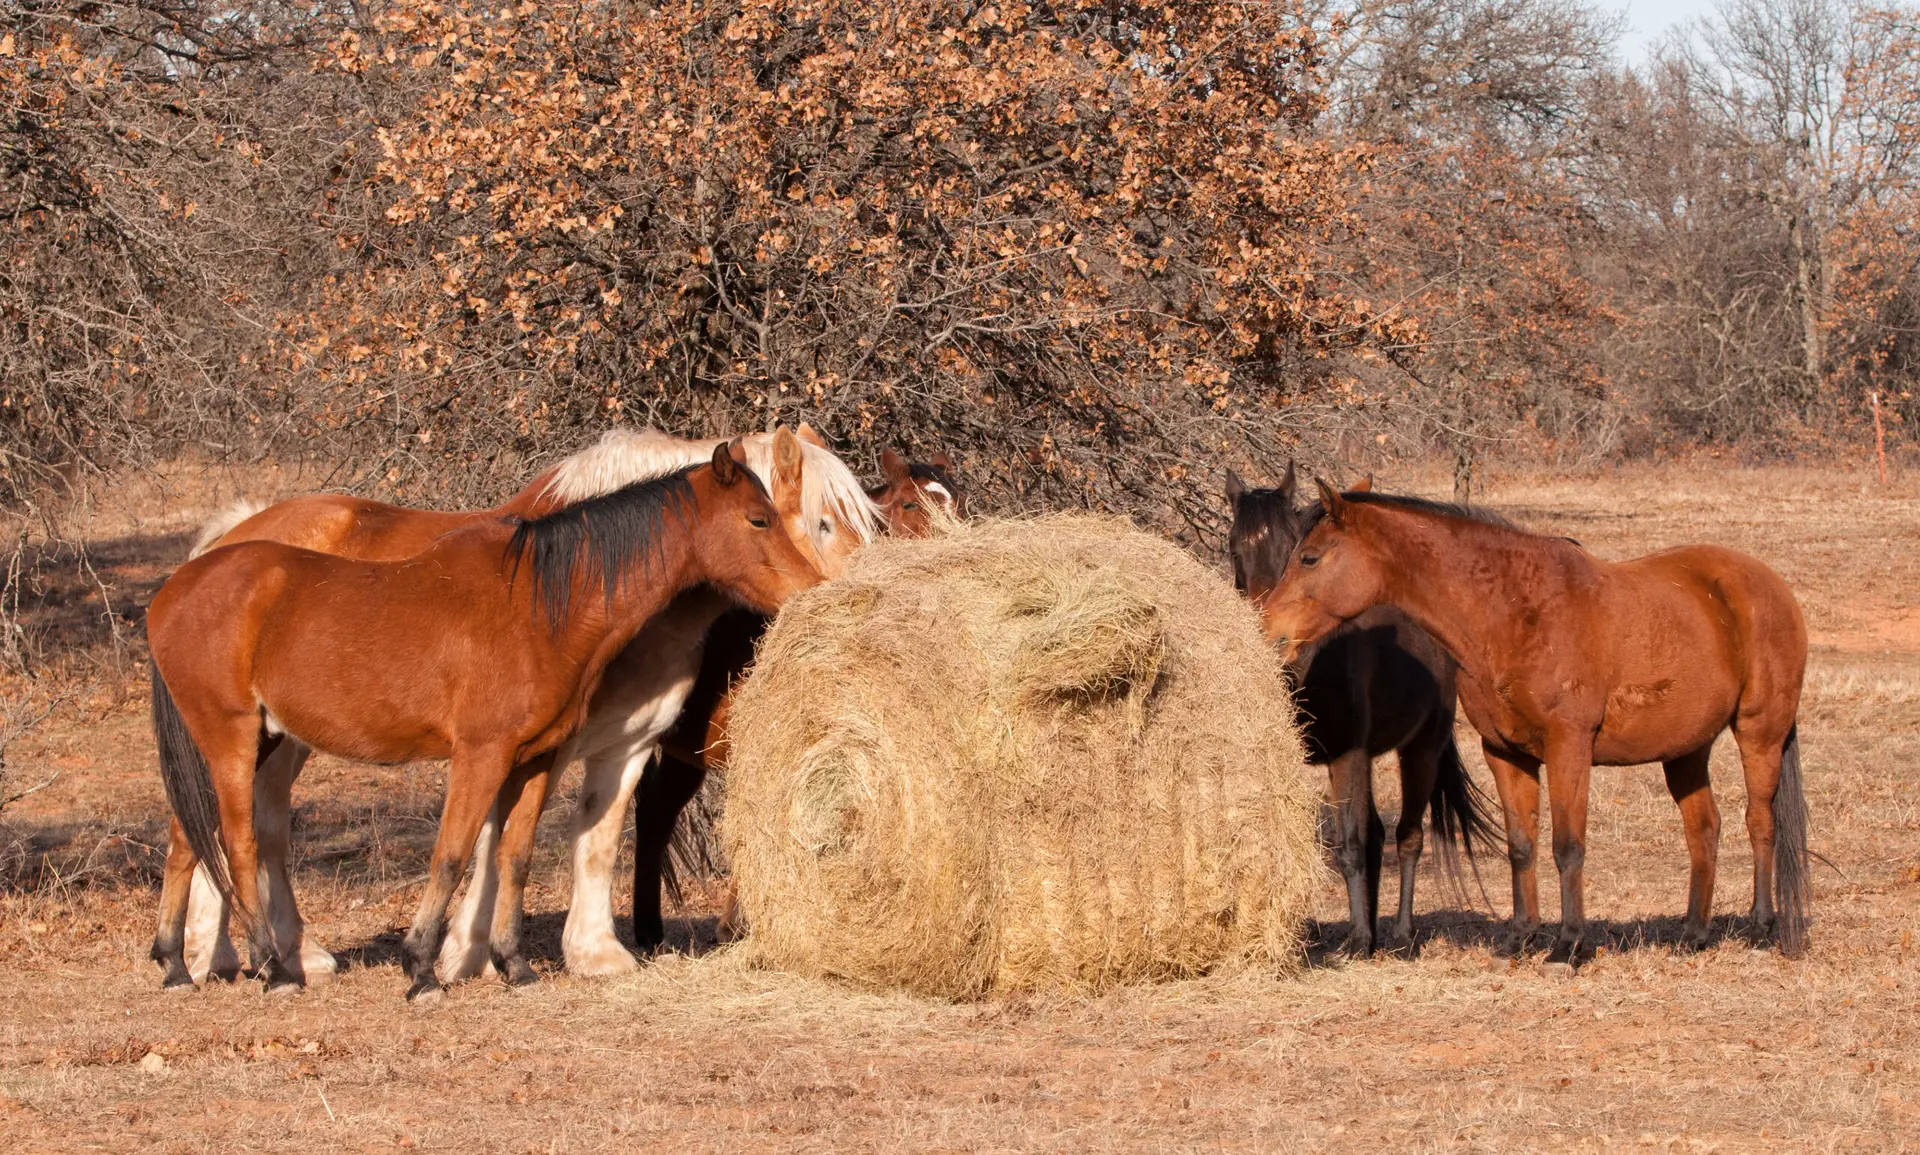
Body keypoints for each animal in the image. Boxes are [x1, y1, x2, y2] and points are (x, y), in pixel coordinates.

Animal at [178, 426, 876, 983]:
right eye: (820, 521)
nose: (843, 599)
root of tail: (232, 534)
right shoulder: (520, 743)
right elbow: (494, 842)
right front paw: (466, 952)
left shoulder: (624, 745)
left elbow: (594, 840)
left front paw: (592, 952)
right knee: (235, 823)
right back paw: (226, 955)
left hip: (283, 734)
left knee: (248, 822)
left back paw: (265, 952)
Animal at [631, 449, 971, 953]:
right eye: (911, 504)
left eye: (960, 501)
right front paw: (737, 922)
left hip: (682, 757)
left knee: (655, 816)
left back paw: (649, 931)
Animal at [1227, 463, 1496, 956]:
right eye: (1236, 548)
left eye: (1294, 549)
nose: (1273, 641)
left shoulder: (1346, 756)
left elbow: (1349, 845)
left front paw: (1356, 939)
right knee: (1378, 834)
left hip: (1420, 751)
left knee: (1407, 837)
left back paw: (1400, 935)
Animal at [1258, 481, 1811, 963]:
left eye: (1310, 557)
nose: (1268, 630)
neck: (1516, 611)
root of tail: (1768, 584)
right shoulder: (1505, 753)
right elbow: (1521, 846)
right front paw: (1519, 938)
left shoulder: (1569, 748)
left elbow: (1567, 846)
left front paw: (1568, 945)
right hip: (1686, 750)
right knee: (1704, 828)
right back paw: (1693, 934)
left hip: (1759, 733)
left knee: (1760, 823)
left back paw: (1762, 929)